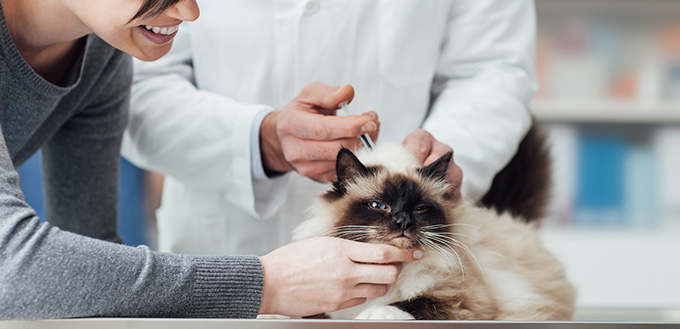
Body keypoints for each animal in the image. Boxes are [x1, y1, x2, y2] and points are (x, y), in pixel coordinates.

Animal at [292, 140, 572, 320]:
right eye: (379, 205)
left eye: (420, 208)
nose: (403, 222)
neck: (394, 269)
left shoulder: (466, 303)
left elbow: (412, 303)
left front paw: (372, 314)